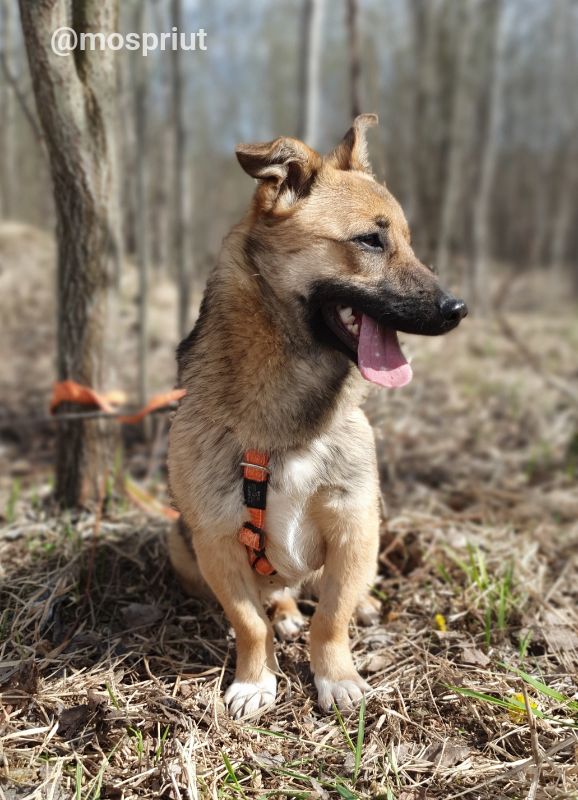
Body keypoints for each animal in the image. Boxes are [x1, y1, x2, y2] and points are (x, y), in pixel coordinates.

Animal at [165, 114, 464, 720]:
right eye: (370, 240)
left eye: (409, 242)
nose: (457, 310)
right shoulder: (215, 540)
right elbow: (249, 622)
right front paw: (255, 680)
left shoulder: (354, 524)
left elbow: (331, 617)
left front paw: (337, 677)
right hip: (177, 542)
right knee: (276, 596)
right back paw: (284, 612)